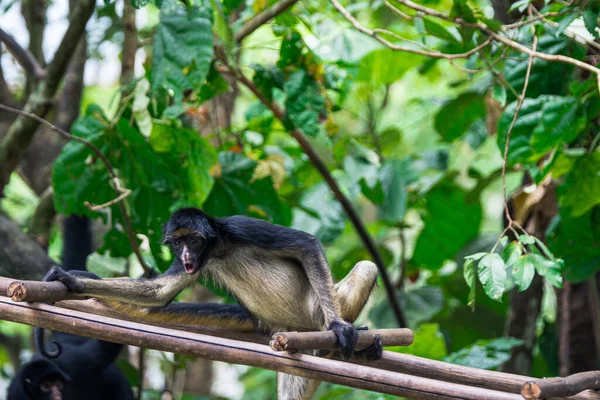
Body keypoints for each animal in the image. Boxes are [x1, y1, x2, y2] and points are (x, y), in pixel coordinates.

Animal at [42, 208, 382, 398]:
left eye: (193, 240)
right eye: (178, 244)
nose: (186, 255)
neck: (219, 247)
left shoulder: (239, 226)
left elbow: (306, 243)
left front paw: (338, 325)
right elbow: (158, 293)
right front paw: (72, 280)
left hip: (318, 307)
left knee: (366, 266)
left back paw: (338, 335)